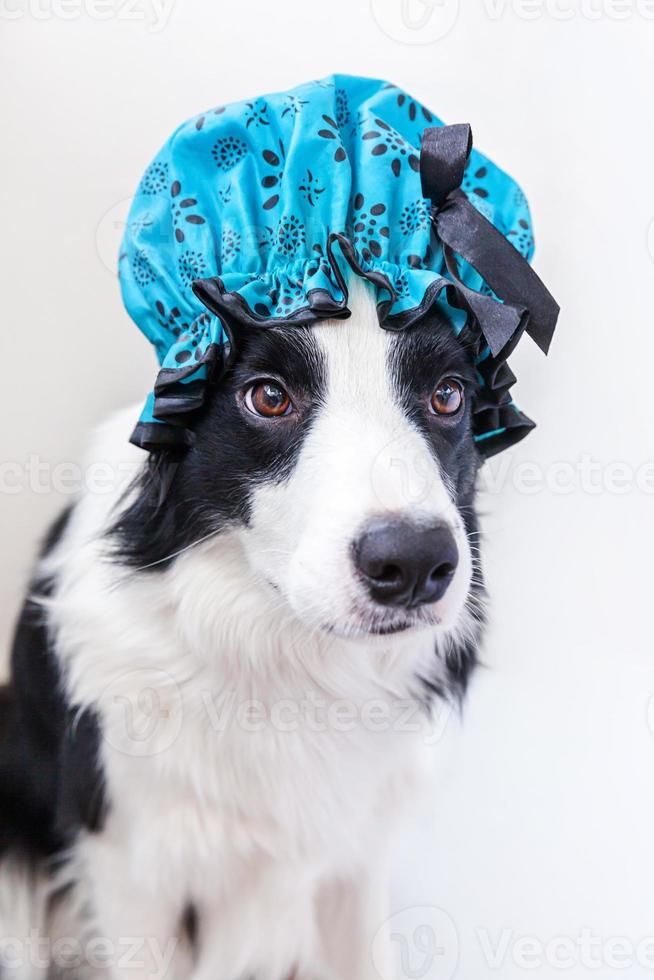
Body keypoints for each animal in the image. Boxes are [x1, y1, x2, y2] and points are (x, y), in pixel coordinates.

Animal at [0, 278, 484, 980]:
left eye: (447, 394)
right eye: (268, 396)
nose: (417, 563)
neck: (284, 656)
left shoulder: (355, 855)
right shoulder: (131, 870)